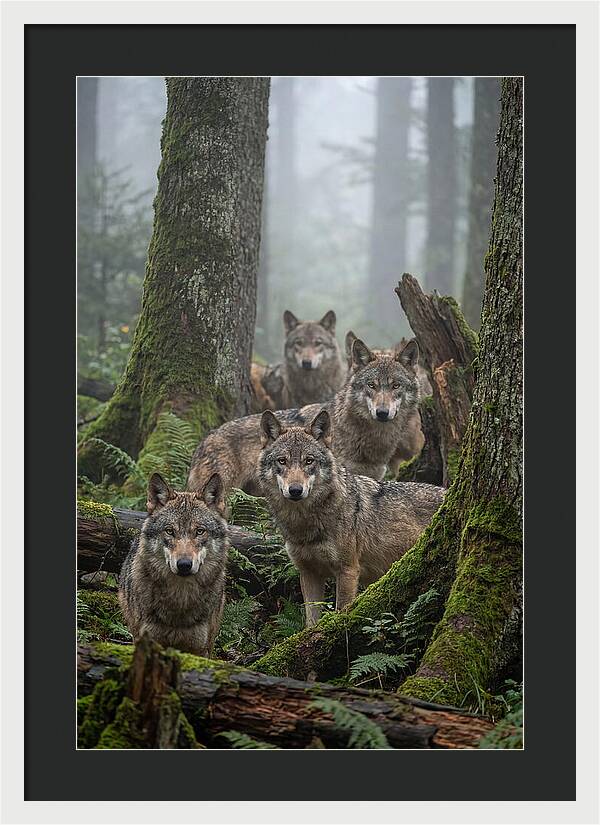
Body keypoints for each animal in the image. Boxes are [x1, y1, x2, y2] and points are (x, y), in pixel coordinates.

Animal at [258, 409, 445, 627]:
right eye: (282, 461)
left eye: (309, 461)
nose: (295, 490)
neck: (304, 524)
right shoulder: (308, 573)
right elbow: (311, 621)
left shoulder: (347, 571)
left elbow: (341, 612)